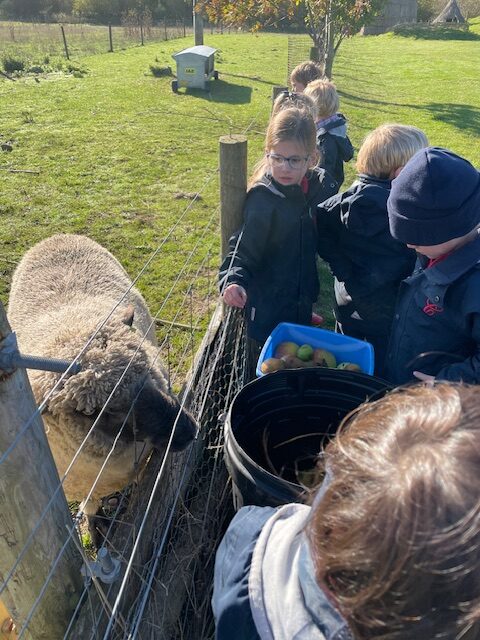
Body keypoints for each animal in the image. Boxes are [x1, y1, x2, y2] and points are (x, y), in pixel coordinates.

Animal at [7, 232, 197, 536]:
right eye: (93, 412)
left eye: (146, 369)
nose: (189, 430)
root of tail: (59, 235)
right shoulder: (85, 485)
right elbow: (91, 508)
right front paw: (96, 528)